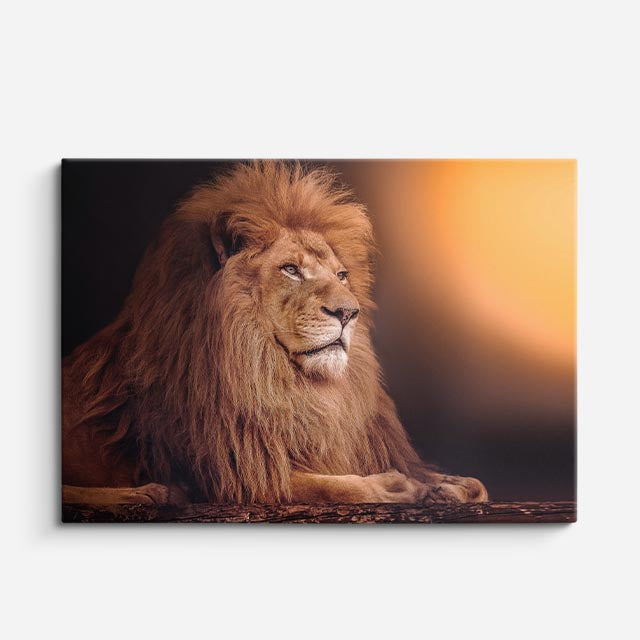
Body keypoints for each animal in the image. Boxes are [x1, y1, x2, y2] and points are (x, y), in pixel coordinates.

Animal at [62, 161, 488, 506]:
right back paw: (151, 494)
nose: (348, 312)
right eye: (291, 270)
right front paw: (395, 487)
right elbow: (327, 485)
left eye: (341, 275)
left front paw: (452, 485)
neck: (280, 377)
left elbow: (460, 481)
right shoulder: (231, 471)